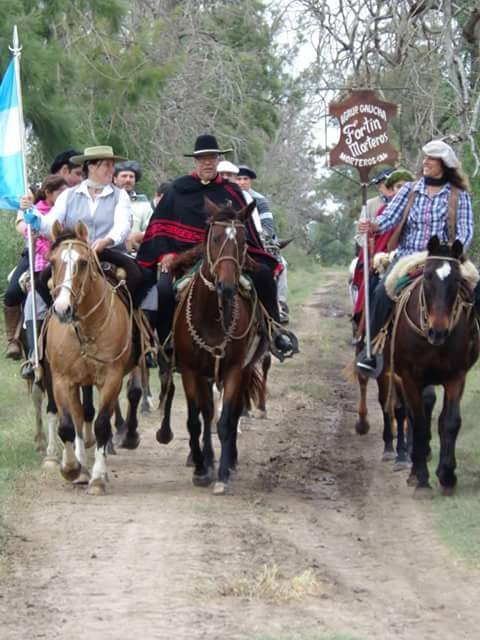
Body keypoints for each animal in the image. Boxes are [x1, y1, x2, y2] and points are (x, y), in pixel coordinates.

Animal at [44, 220, 142, 496]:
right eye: (52, 262)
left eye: (83, 262)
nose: (62, 309)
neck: (85, 328)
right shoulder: (62, 380)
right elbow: (68, 425)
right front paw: (71, 468)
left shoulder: (111, 378)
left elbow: (101, 425)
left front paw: (98, 478)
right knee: (78, 418)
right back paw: (80, 467)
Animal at [158, 200, 268, 496]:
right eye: (216, 238)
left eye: (242, 240)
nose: (226, 286)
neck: (212, 316)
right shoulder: (190, 370)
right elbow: (196, 420)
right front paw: (200, 468)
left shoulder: (234, 370)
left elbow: (226, 420)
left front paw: (222, 474)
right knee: (205, 413)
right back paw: (205, 459)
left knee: (228, 412)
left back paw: (229, 461)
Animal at [392, 238, 478, 498]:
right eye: (428, 277)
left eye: (456, 280)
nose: (437, 331)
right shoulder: (410, 378)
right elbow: (419, 424)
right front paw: (422, 480)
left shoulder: (456, 376)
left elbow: (450, 422)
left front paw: (447, 475)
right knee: (410, 415)